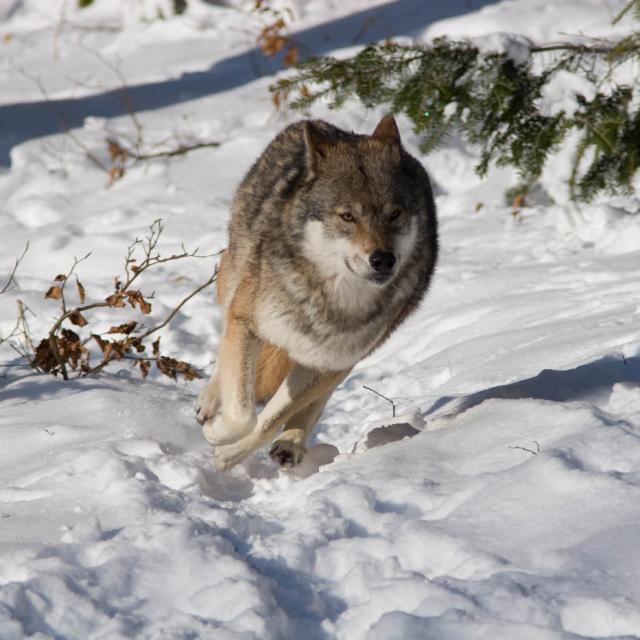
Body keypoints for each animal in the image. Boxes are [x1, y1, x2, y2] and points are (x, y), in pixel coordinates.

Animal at [195, 115, 438, 468]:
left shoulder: (327, 362)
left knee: (310, 403)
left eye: (395, 214)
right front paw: (217, 433)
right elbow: (243, 413)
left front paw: (227, 454)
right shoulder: (245, 321)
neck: (327, 298)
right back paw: (209, 403)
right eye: (347, 216)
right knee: (225, 355)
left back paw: (291, 444)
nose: (383, 259)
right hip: (231, 279)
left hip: (342, 362)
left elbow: (266, 422)